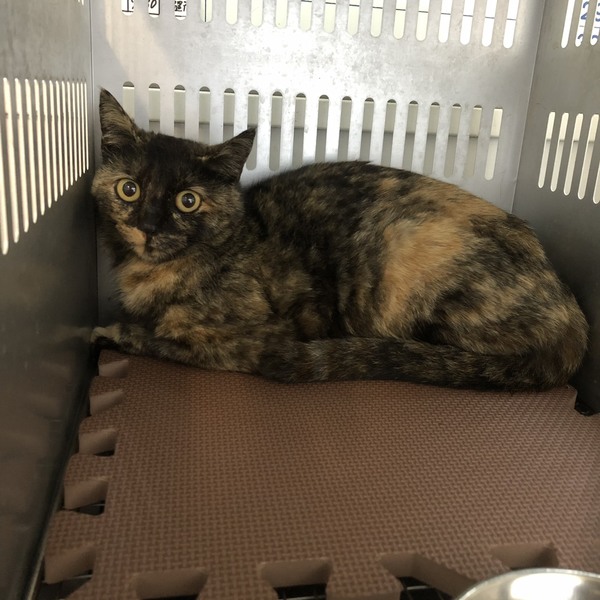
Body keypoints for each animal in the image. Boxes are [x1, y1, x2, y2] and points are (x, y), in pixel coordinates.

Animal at [92, 88, 588, 391]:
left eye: (188, 200)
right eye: (129, 189)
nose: (149, 225)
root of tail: (572, 314)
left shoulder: (256, 338)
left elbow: (164, 339)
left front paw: (113, 332)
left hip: (408, 251)